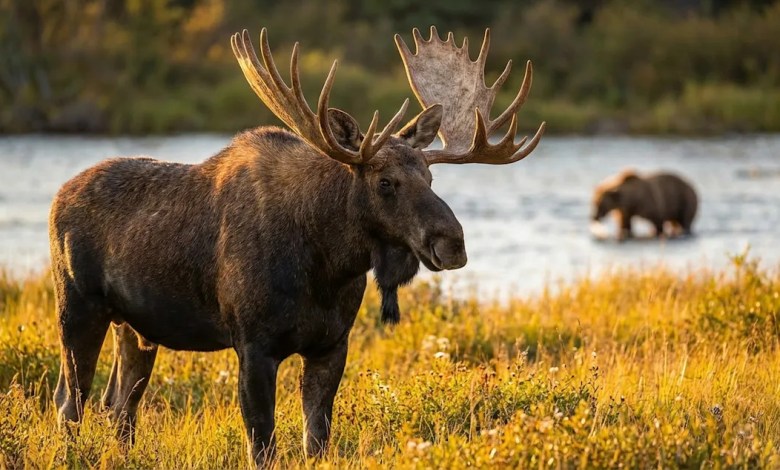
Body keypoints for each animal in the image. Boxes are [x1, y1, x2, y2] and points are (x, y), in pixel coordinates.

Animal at [49, 26, 545, 466]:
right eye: (385, 182)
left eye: (430, 176)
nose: (452, 243)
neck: (327, 267)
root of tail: (59, 196)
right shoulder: (253, 344)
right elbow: (262, 444)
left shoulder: (332, 344)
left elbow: (316, 440)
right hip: (77, 307)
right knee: (69, 401)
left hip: (134, 326)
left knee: (118, 405)